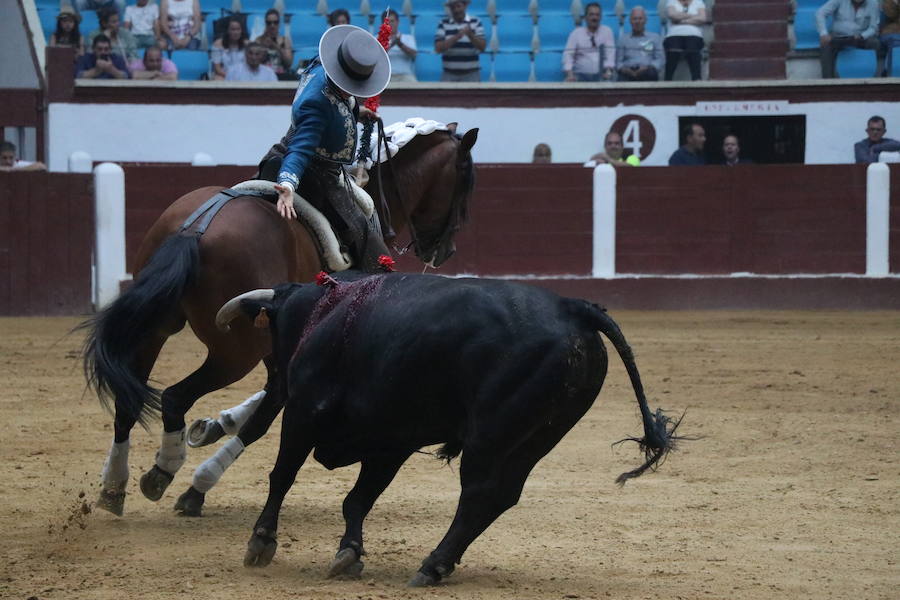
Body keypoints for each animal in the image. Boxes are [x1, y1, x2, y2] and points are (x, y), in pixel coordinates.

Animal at [83, 125, 478, 516]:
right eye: (465, 181)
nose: (447, 251)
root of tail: (195, 230)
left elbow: (264, 405)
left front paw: (215, 427)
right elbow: (264, 416)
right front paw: (199, 483)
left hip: (153, 328)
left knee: (128, 400)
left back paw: (113, 486)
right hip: (235, 354)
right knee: (176, 397)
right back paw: (162, 472)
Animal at [218, 272, 684, 584]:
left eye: (274, 335)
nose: (273, 384)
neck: (325, 312)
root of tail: (573, 307)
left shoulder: (304, 413)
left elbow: (283, 475)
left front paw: (261, 541)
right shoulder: (392, 442)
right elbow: (359, 499)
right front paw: (349, 552)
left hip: (489, 436)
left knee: (478, 494)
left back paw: (432, 564)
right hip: (536, 438)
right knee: (502, 496)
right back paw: (439, 563)